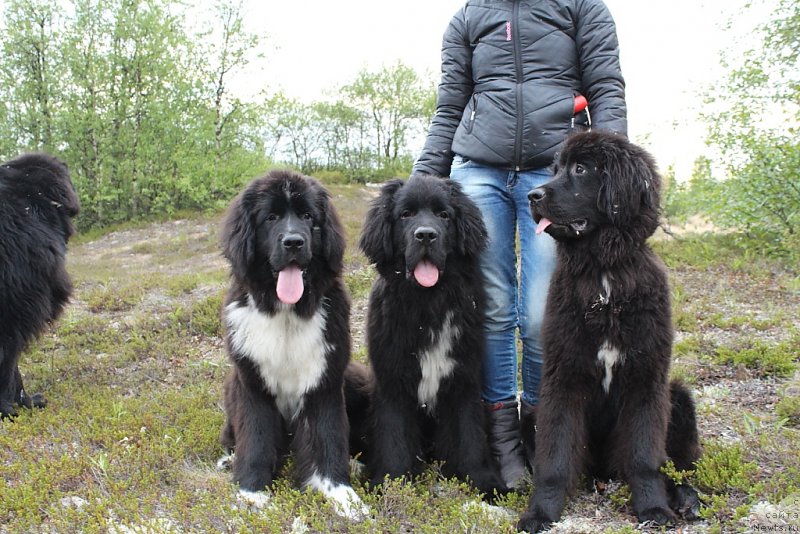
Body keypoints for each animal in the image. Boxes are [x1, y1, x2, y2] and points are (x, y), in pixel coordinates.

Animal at [220, 171, 368, 520]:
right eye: (271, 217)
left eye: (308, 217)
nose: (293, 242)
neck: (286, 311)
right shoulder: (252, 384)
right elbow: (255, 438)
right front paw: (252, 492)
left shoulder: (325, 381)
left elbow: (328, 437)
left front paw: (340, 493)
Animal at [356, 175, 506, 498]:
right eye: (405, 214)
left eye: (444, 215)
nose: (426, 235)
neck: (428, 304)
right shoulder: (392, 379)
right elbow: (394, 434)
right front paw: (391, 481)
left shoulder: (463, 377)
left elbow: (470, 435)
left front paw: (485, 482)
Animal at [520, 132, 700, 532]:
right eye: (555, 169)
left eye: (580, 169)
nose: (532, 196)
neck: (604, 279)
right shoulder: (562, 379)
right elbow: (554, 459)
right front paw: (540, 513)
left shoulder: (646, 379)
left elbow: (645, 458)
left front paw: (653, 509)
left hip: (679, 398)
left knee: (682, 466)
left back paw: (687, 500)